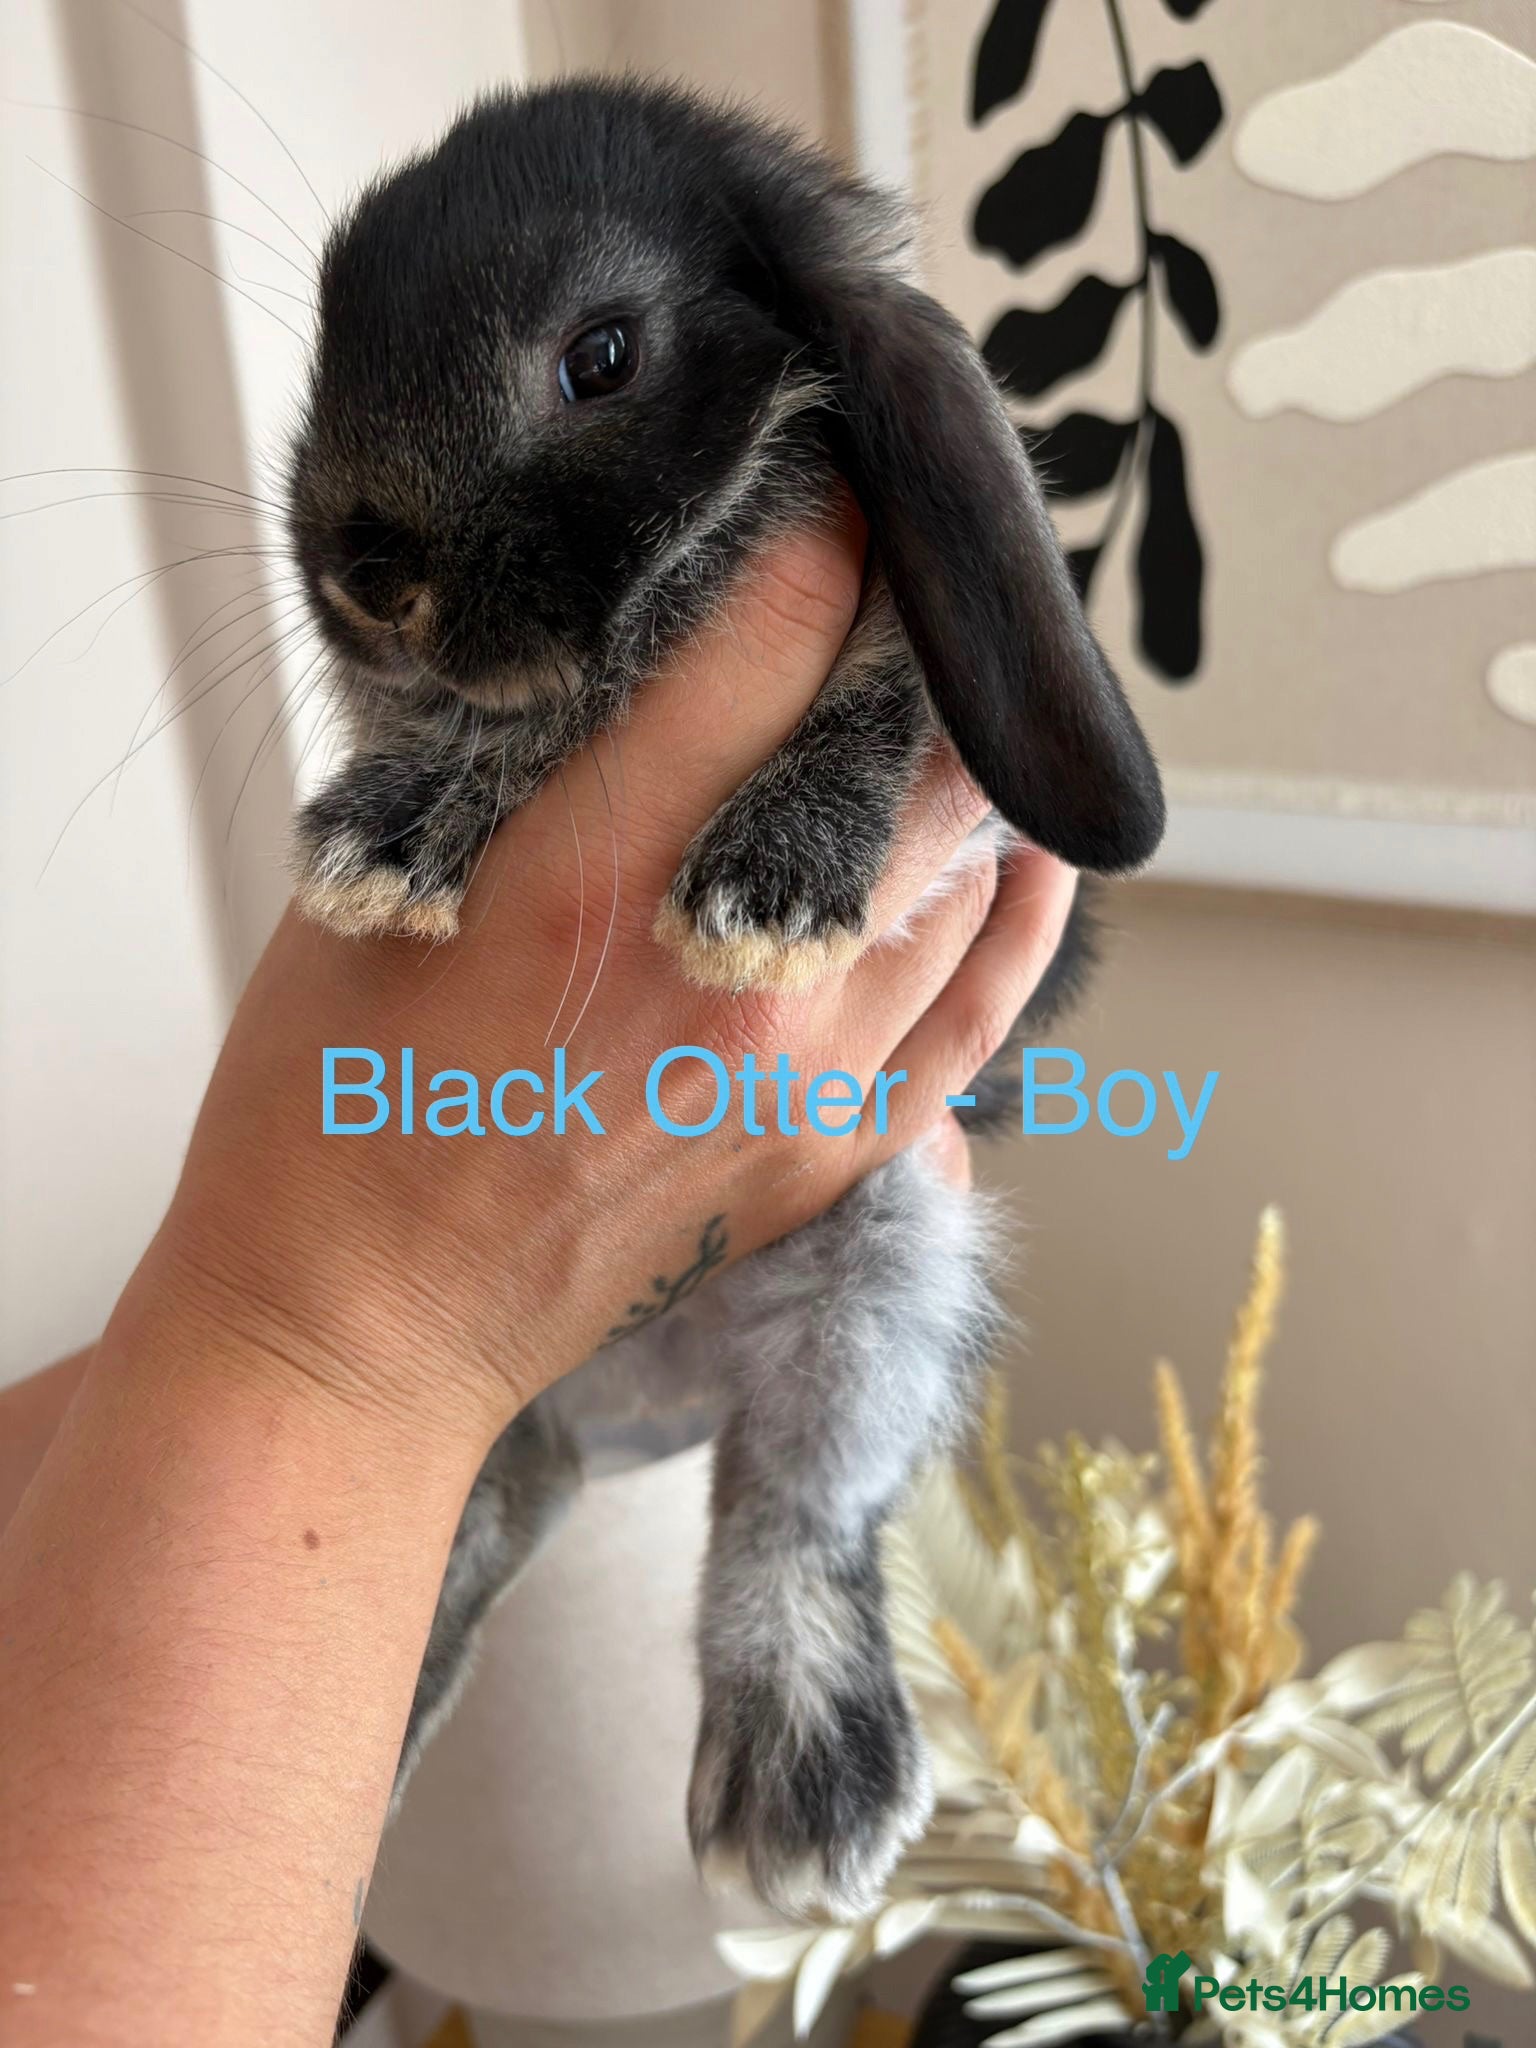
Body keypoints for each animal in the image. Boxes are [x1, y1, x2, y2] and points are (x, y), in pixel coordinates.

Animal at [286, 76, 1163, 1920]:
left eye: (600, 356)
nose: (359, 570)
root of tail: (627, 1402)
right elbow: (518, 717)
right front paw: (387, 829)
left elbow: (874, 684)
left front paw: (763, 892)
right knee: (484, 1530)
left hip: (885, 1264)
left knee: (792, 1517)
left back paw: (807, 1793)